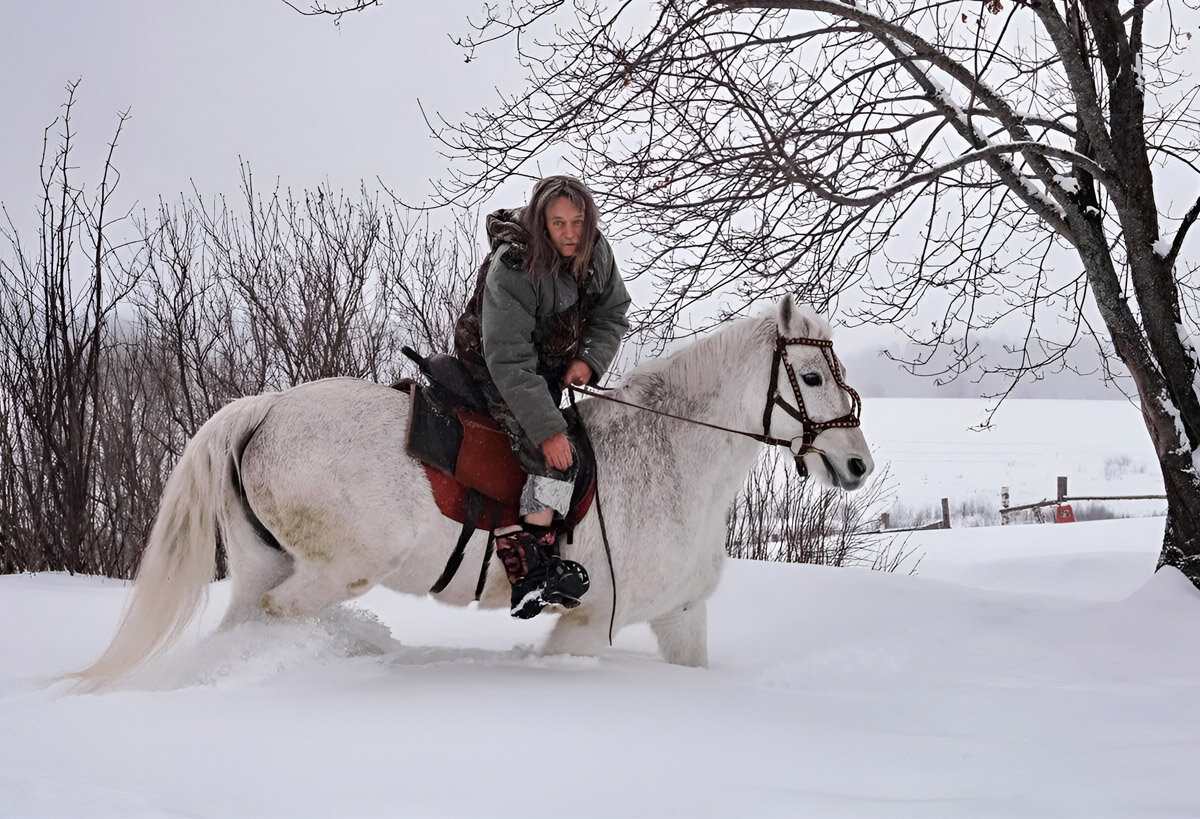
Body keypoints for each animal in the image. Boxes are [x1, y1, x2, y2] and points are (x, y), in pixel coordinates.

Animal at [72, 296, 873, 686]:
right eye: (810, 377)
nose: (858, 464)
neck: (669, 456)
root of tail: (263, 409)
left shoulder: (681, 617)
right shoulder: (589, 623)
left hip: (261, 564)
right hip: (332, 570)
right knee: (281, 615)